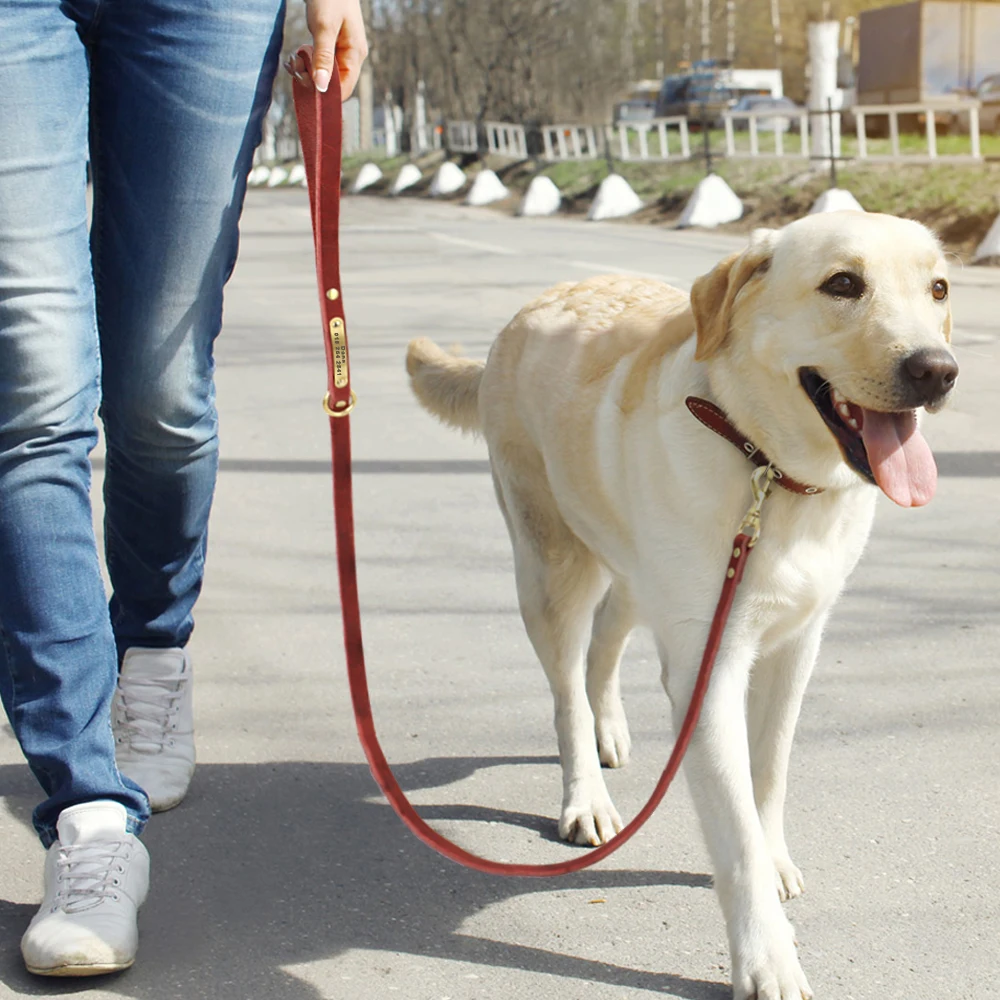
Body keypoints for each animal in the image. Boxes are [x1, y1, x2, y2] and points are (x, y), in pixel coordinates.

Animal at [404, 213, 952, 1000]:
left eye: (938, 289)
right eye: (843, 284)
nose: (937, 371)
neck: (767, 468)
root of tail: (533, 305)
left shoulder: (797, 646)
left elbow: (769, 774)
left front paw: (774, 856)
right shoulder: (708, 667)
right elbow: (735, 829)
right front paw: (766, 956)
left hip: (635, 571)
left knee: (606, 642)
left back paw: (608, 728)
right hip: (550, 568)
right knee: (566, 688)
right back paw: (585, 794)